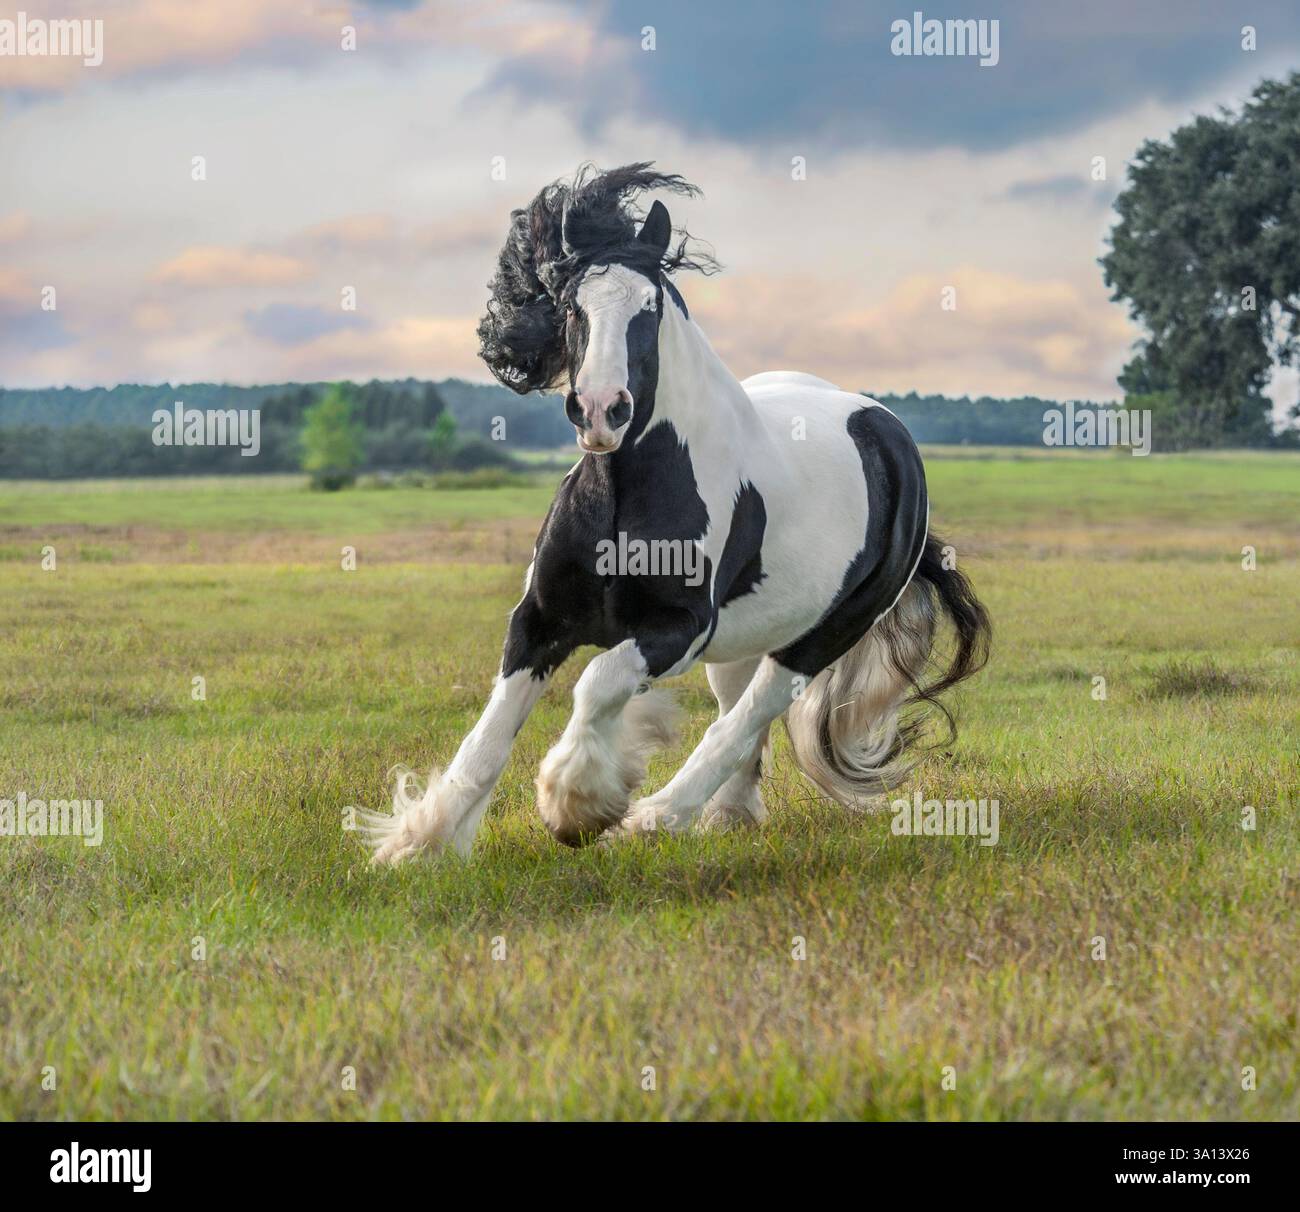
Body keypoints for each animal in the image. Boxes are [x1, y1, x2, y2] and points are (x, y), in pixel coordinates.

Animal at [361, 163, 990, 864]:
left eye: (651, 307)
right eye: (572, 304)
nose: (600, 410)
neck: (624, 494)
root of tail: (885, 429)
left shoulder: (680, 628)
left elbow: (599, 681)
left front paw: (576, 804)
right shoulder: (539, 620)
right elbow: (489, 734)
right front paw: (421, 841)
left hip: (825, 632)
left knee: (747, 718)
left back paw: (656, 817)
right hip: (744, 637)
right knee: (737, 717)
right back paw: (727, 817)